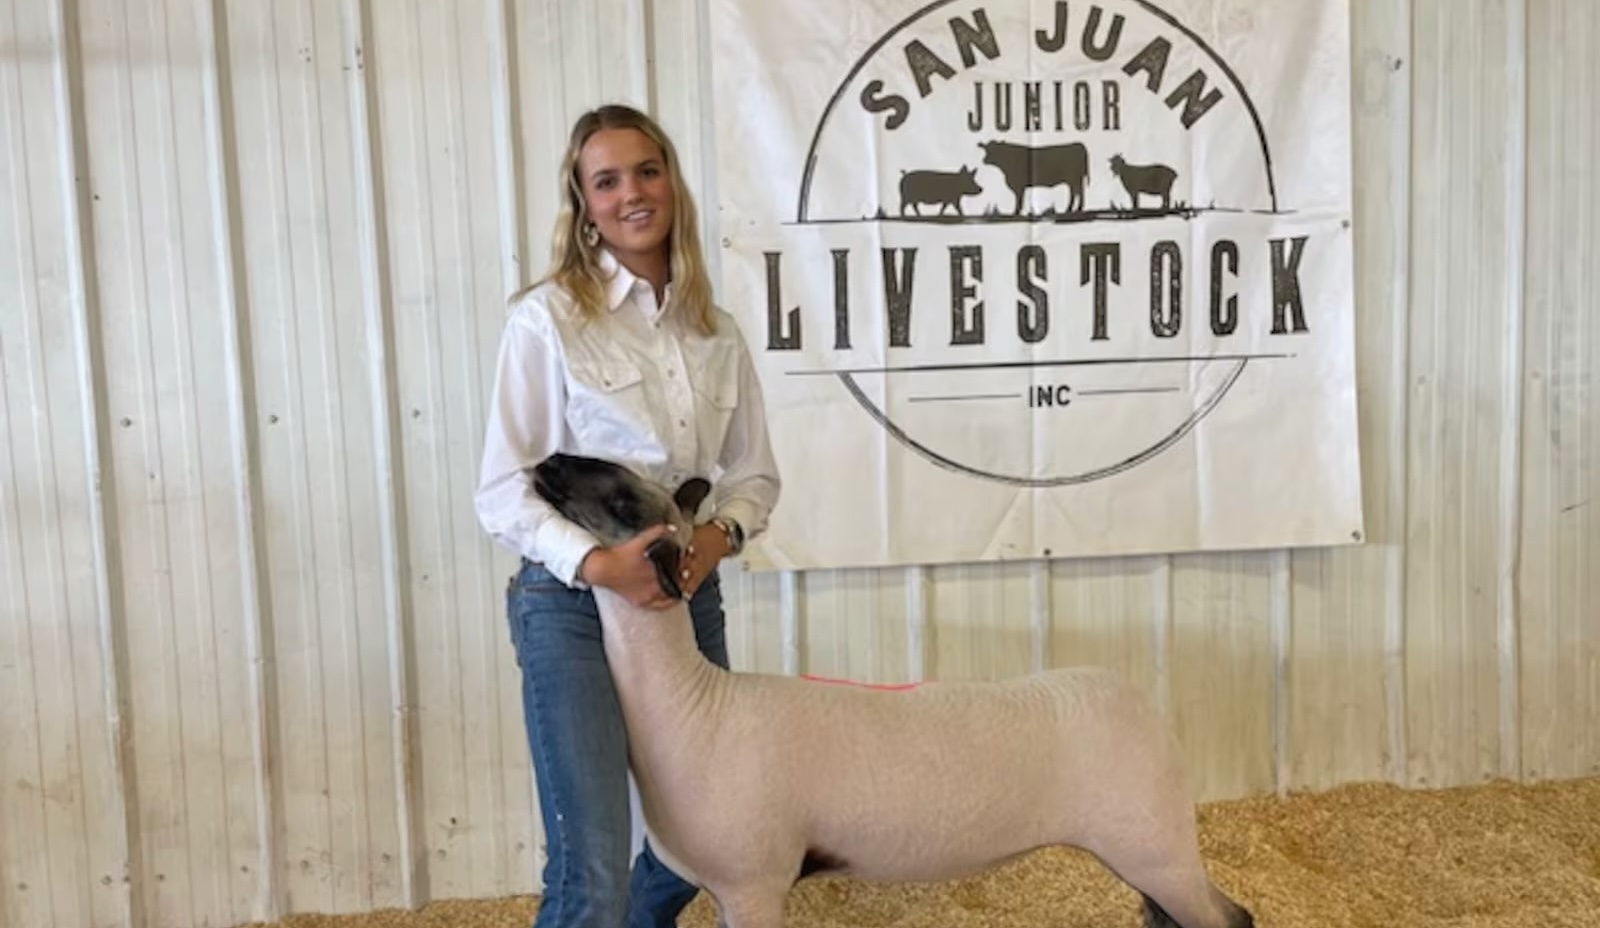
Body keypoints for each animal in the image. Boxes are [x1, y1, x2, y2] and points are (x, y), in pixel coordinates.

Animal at [531, 454, 1254, 928]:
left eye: (624, 505)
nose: (548, 462)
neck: (693, 706)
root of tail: (1143, 703)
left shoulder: (754, 881)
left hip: (1155, 842)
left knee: (1232, 919)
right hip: (1147, 850)